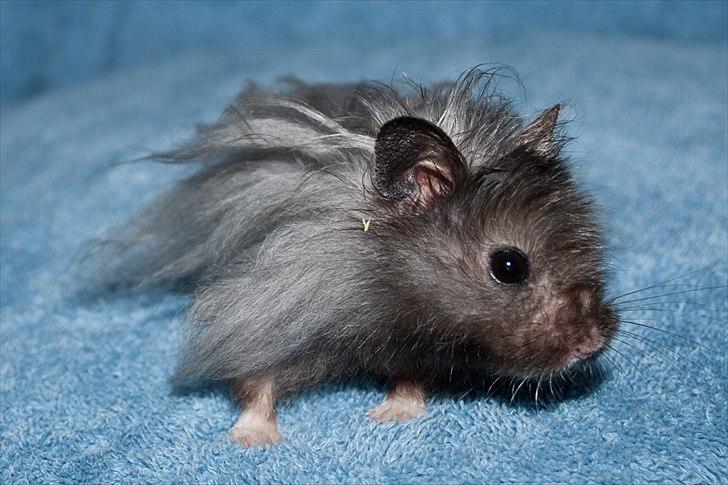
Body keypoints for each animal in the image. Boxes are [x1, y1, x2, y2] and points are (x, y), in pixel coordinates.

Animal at [91, 68, 618, 447]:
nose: (593, 344)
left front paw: (392, 417)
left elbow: (410, 379)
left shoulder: (412, 341)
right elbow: (255, 384)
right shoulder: (262, 311)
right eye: (509, 266)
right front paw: (253, 442)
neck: (385, 284)